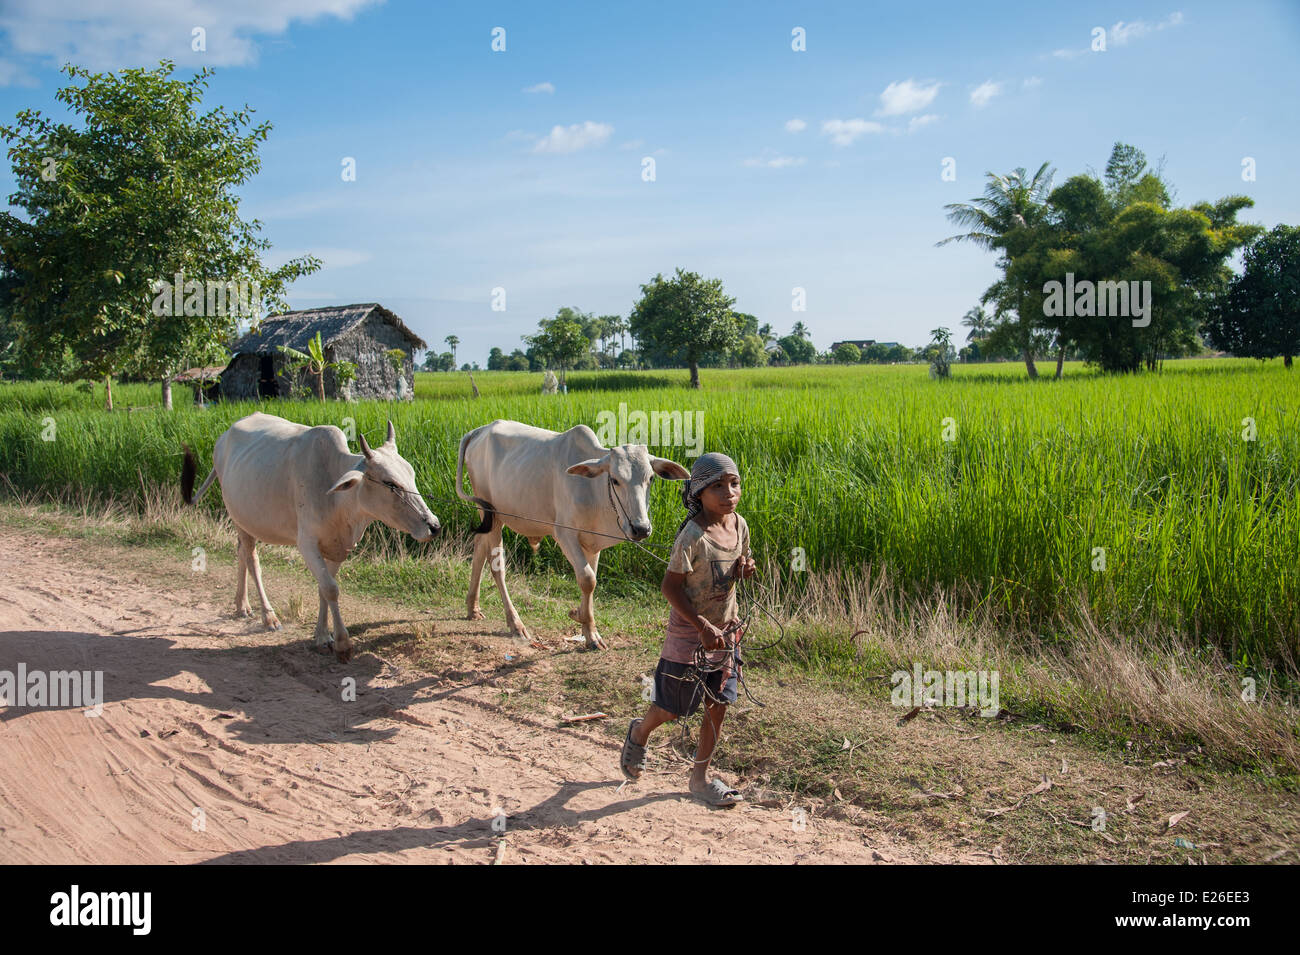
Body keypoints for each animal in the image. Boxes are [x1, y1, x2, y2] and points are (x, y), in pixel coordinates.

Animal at [182, 410, 441, 665]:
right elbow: (331, 589)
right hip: (239, 518)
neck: (337, 498)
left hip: (243, 521)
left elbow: (323, 589)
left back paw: (242, 605)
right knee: (252, 560)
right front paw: (342, 644)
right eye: (390, 484)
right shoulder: (307, 544)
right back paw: (268, 617)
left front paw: (322, 636)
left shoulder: (338, 548)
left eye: (412, 475)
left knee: (241, 554)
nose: (434, 526)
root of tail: (223, 438)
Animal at [454, 420, 686, 649]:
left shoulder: (592, 543)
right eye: (615, 480)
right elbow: (587, 579)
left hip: (489, 517)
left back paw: (472, 608)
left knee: (479, 546)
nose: (641, 528)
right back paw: (515, 624)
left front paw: (583, 620)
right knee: (497, 568)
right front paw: (589, 631)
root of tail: (479, 430)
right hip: (491, 513)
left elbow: (591, 581)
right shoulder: (564, 535)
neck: (593, 490)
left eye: (651, 478)